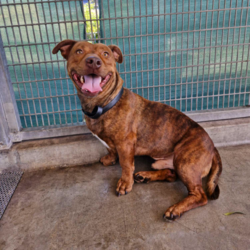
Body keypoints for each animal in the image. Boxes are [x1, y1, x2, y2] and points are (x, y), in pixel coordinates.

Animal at [52, 40, 221, 221]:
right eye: (79, 51)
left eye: (105, 54)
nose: (93, 61)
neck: (103, 104)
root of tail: (213, 147)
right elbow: (109, 148)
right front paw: (110, 158)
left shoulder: (125, 145)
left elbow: (126, 165)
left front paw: (125, 183)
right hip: (163, 162)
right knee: (171, 174)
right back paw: (145, 176)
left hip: (185, 162)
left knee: (200, 195)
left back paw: (176, 209)